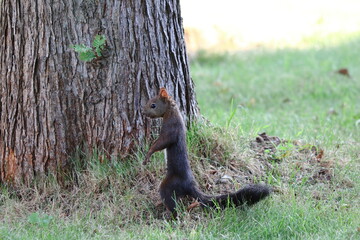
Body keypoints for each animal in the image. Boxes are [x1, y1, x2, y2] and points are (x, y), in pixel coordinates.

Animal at [143, 87, 270, 217]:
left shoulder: (171, 129)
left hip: (168, 186)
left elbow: (161, 143)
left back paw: (171, 215)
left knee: (172, 203)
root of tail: (190, 185)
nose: (143, 113)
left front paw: (148, 154)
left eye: (153, 105)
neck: (172, 113)